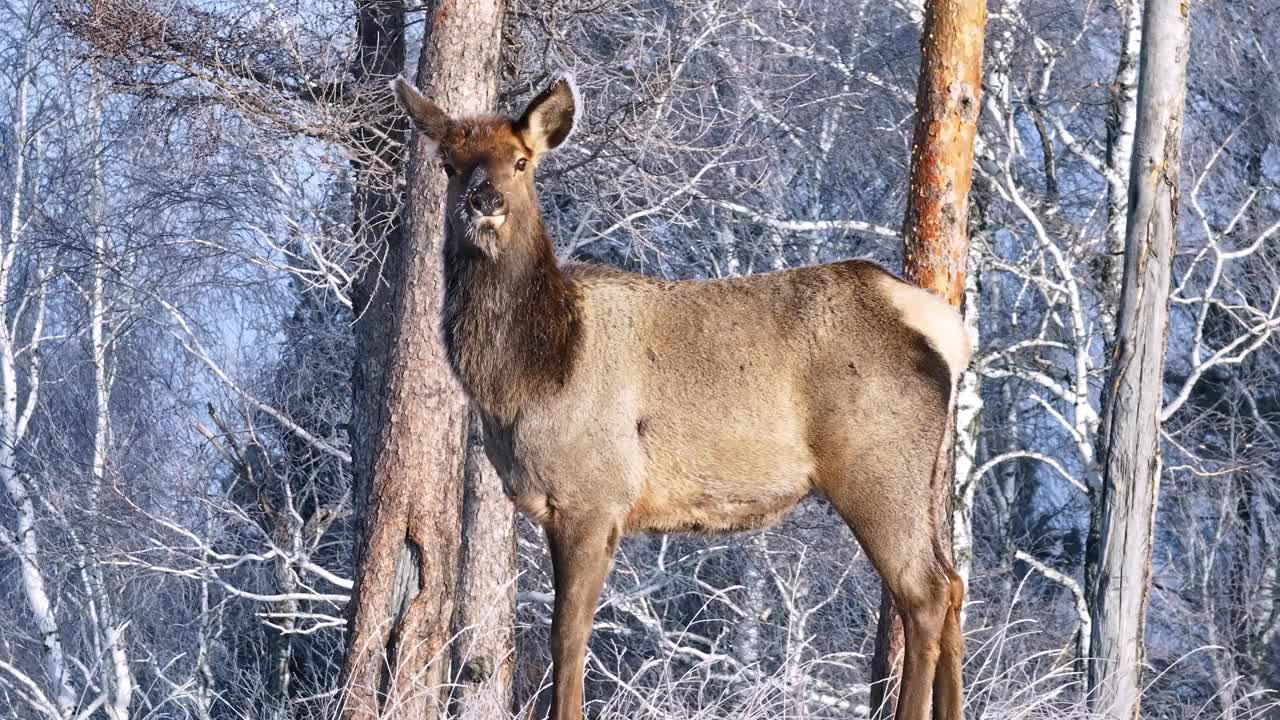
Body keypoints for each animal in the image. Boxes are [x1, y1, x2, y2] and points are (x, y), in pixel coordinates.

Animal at [391, 74, 967, 717]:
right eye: (449, 164)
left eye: (521, 161)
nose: (484, 201)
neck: (531, 375)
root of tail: (946, 329)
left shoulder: (595, 495)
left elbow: (568, 636)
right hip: (929, 474)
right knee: (955, 582)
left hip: (876, 465)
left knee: (924, 592)